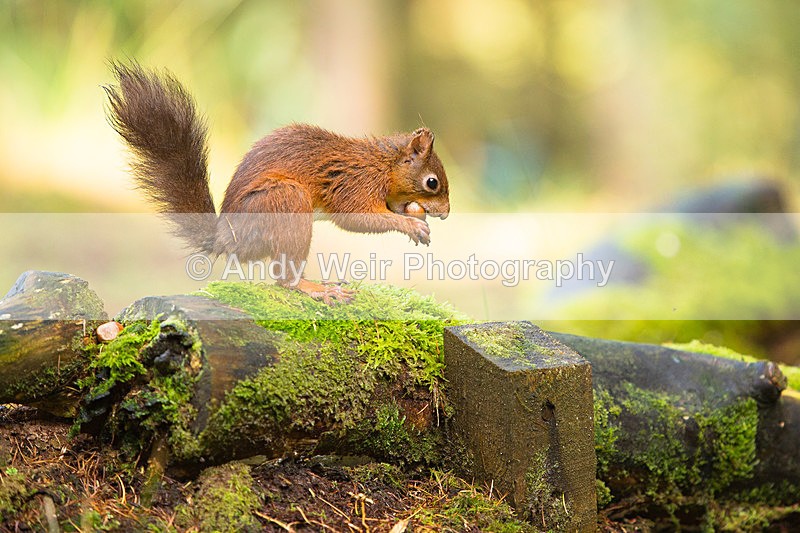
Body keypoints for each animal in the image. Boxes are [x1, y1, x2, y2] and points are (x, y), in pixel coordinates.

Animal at [104, 62, 450, 304]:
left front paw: (416, 219)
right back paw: (314, 288)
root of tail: (228, 238)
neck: (382, 165)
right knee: (283, 278)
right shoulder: (354, 184)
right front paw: (410, 225)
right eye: (432, 182)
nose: (445, 213)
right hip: (285, 201)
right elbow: (356, 218)